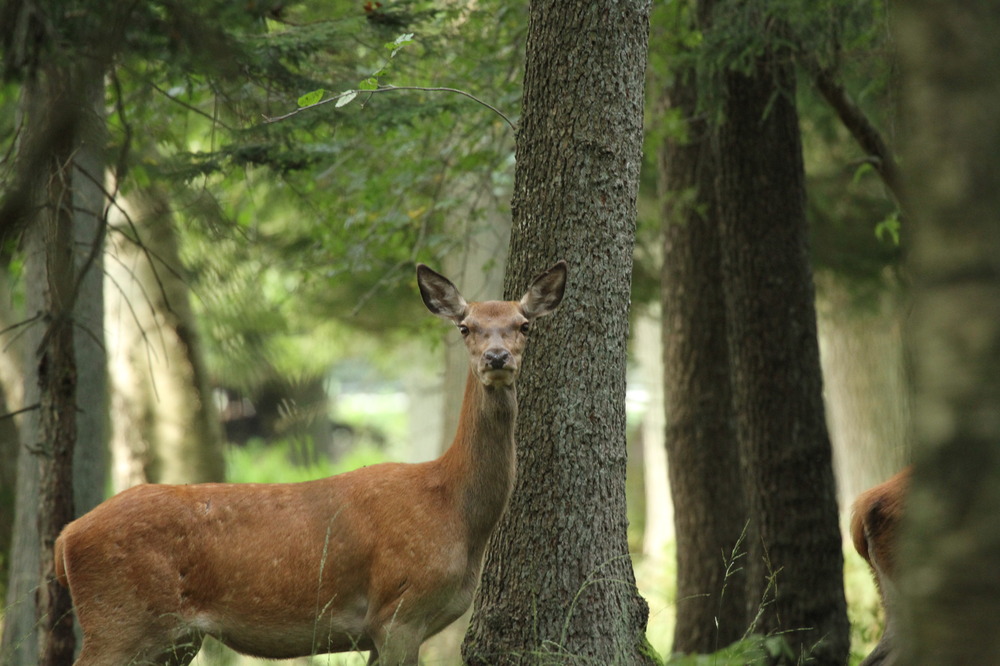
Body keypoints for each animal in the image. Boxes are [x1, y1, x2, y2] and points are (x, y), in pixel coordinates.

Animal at [54, 260, 568, 664]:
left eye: (524, 325)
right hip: (119, 619)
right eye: (466, 327)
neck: (454, 510)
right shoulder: (399, 611)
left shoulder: (384, 629)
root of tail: (66, 538)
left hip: (172, 639)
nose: (497, 357)